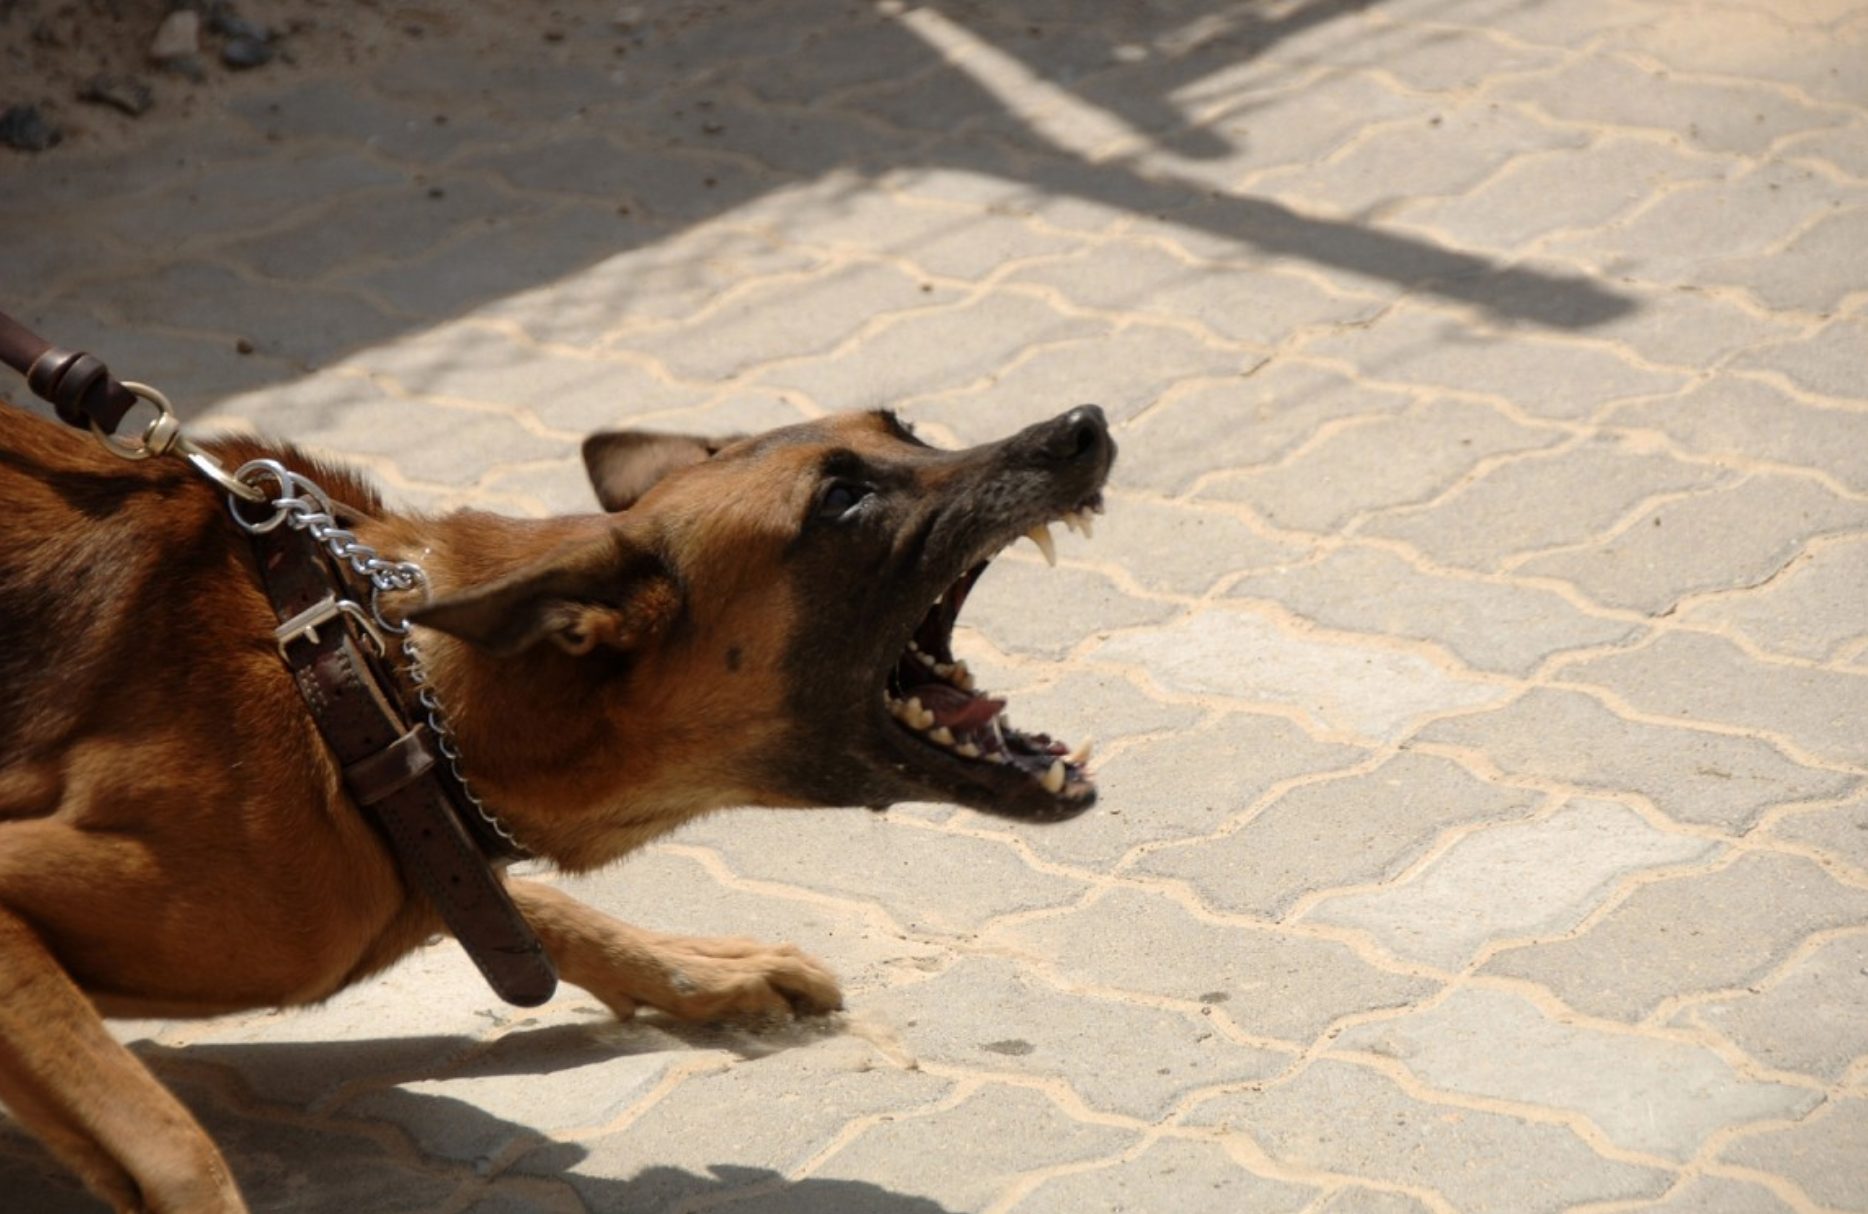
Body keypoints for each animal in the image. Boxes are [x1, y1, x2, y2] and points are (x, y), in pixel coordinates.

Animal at [0, 403, 1105, 1210]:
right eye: (841, 497)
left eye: (903, 427)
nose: (1081, 427)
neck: (364, 686)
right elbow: (175, 1145)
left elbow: (535, 907)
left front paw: (699, 966)